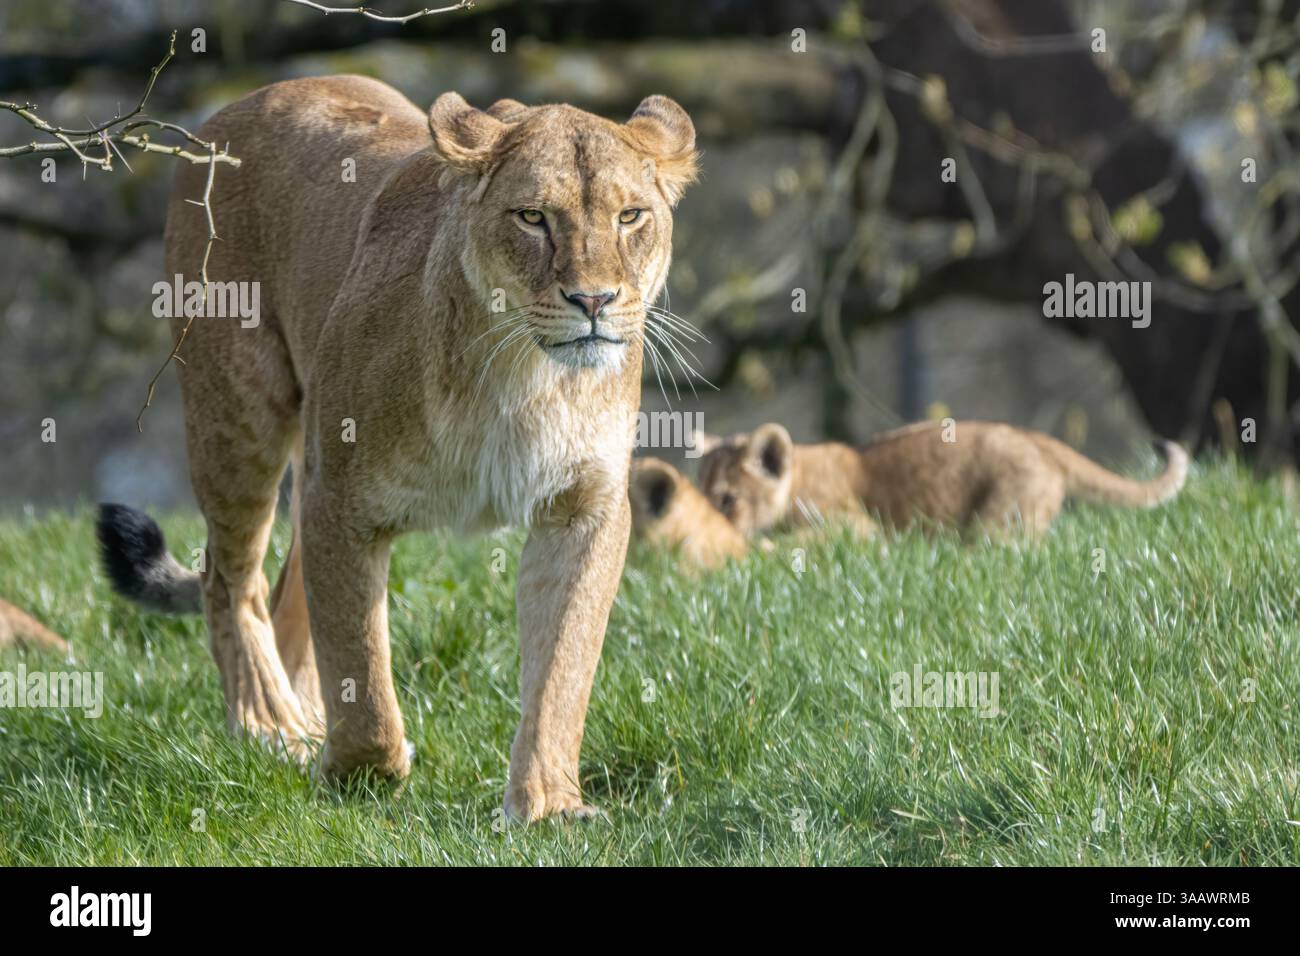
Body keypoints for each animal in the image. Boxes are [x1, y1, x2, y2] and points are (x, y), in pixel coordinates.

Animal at [95, 75, 697, 821]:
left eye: (630, 216)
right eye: (533, 217)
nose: (595, 300)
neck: (522, 374)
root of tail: (240, 104)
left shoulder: (584, 507)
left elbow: (563, 666)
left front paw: (547, 806)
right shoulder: (339, 498)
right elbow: (362, 667)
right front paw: (362, 774)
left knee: (288, 597)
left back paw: (301, 722)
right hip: (239, 414)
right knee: (231, 581)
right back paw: (272, 726)